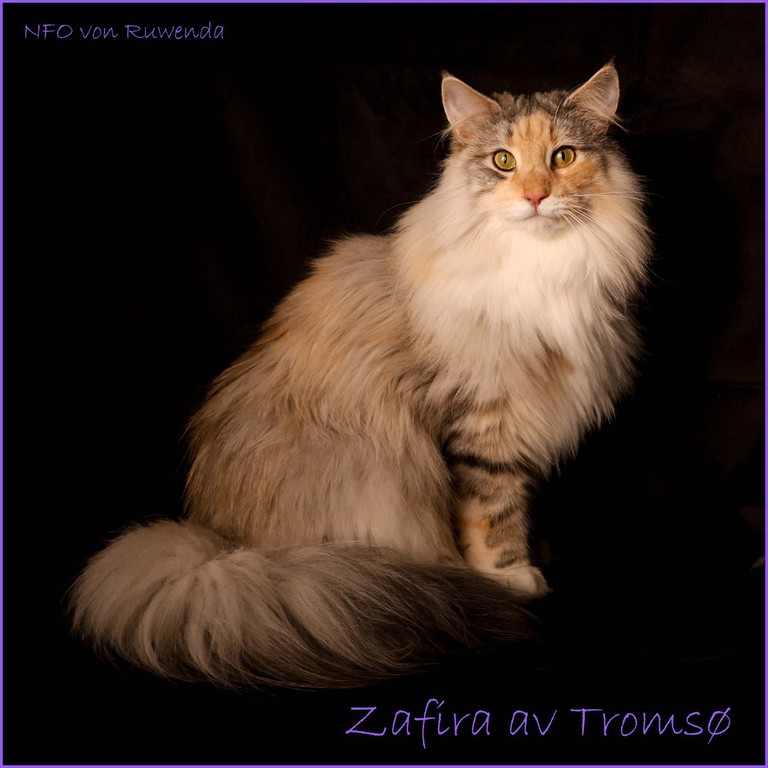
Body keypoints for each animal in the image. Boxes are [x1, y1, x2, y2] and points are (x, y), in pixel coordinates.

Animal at [70, 64, 651, 689]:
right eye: (503, 161)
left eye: (563, 156)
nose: (536, 196)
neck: (541, 267)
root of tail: (220, 550)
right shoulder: (481, 423)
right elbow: (490, 512)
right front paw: (510, 575)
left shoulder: (524, 427)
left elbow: (516, 502)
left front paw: (536, 555)